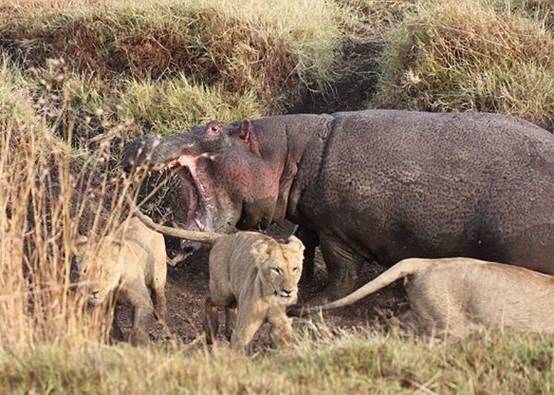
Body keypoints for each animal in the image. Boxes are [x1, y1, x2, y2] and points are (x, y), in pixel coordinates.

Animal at [74, 217, 167, 346]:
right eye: (85, 271)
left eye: (106, 272)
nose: (93, 292)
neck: (116, 285)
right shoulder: (106, 303)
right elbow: (112, 322)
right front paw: (116, 338)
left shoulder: (143, 301)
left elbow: (139, 329)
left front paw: (138, 345)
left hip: (159, 275)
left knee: (161, 296)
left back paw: (160, 324)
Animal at [123, 109, 552, 300]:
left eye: (213, 127)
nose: (141, 139)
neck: (286, 154)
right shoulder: (311, 218)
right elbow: (303, 243)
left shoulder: (339, 232)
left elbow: (341, 271)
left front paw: (314, 303)